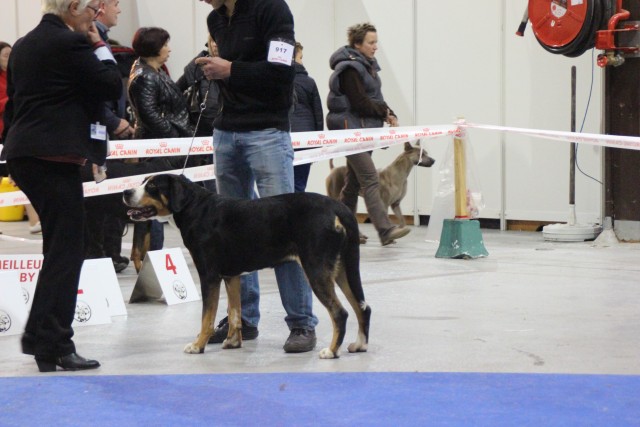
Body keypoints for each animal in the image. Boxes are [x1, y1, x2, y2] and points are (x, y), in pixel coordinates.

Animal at [123, 174, 372, 358]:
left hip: (316, 268)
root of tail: (338, 207)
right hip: (342, 269)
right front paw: (232, 342)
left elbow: (207, 317)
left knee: (340, 312)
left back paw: (331, 351)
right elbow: (234, 312)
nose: (126, 192)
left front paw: (198, 345)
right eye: (143, 182)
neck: (196, 208)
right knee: (363, 307)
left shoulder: (209, 275)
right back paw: (359, 345)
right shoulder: (231, 275)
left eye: (152, 186)